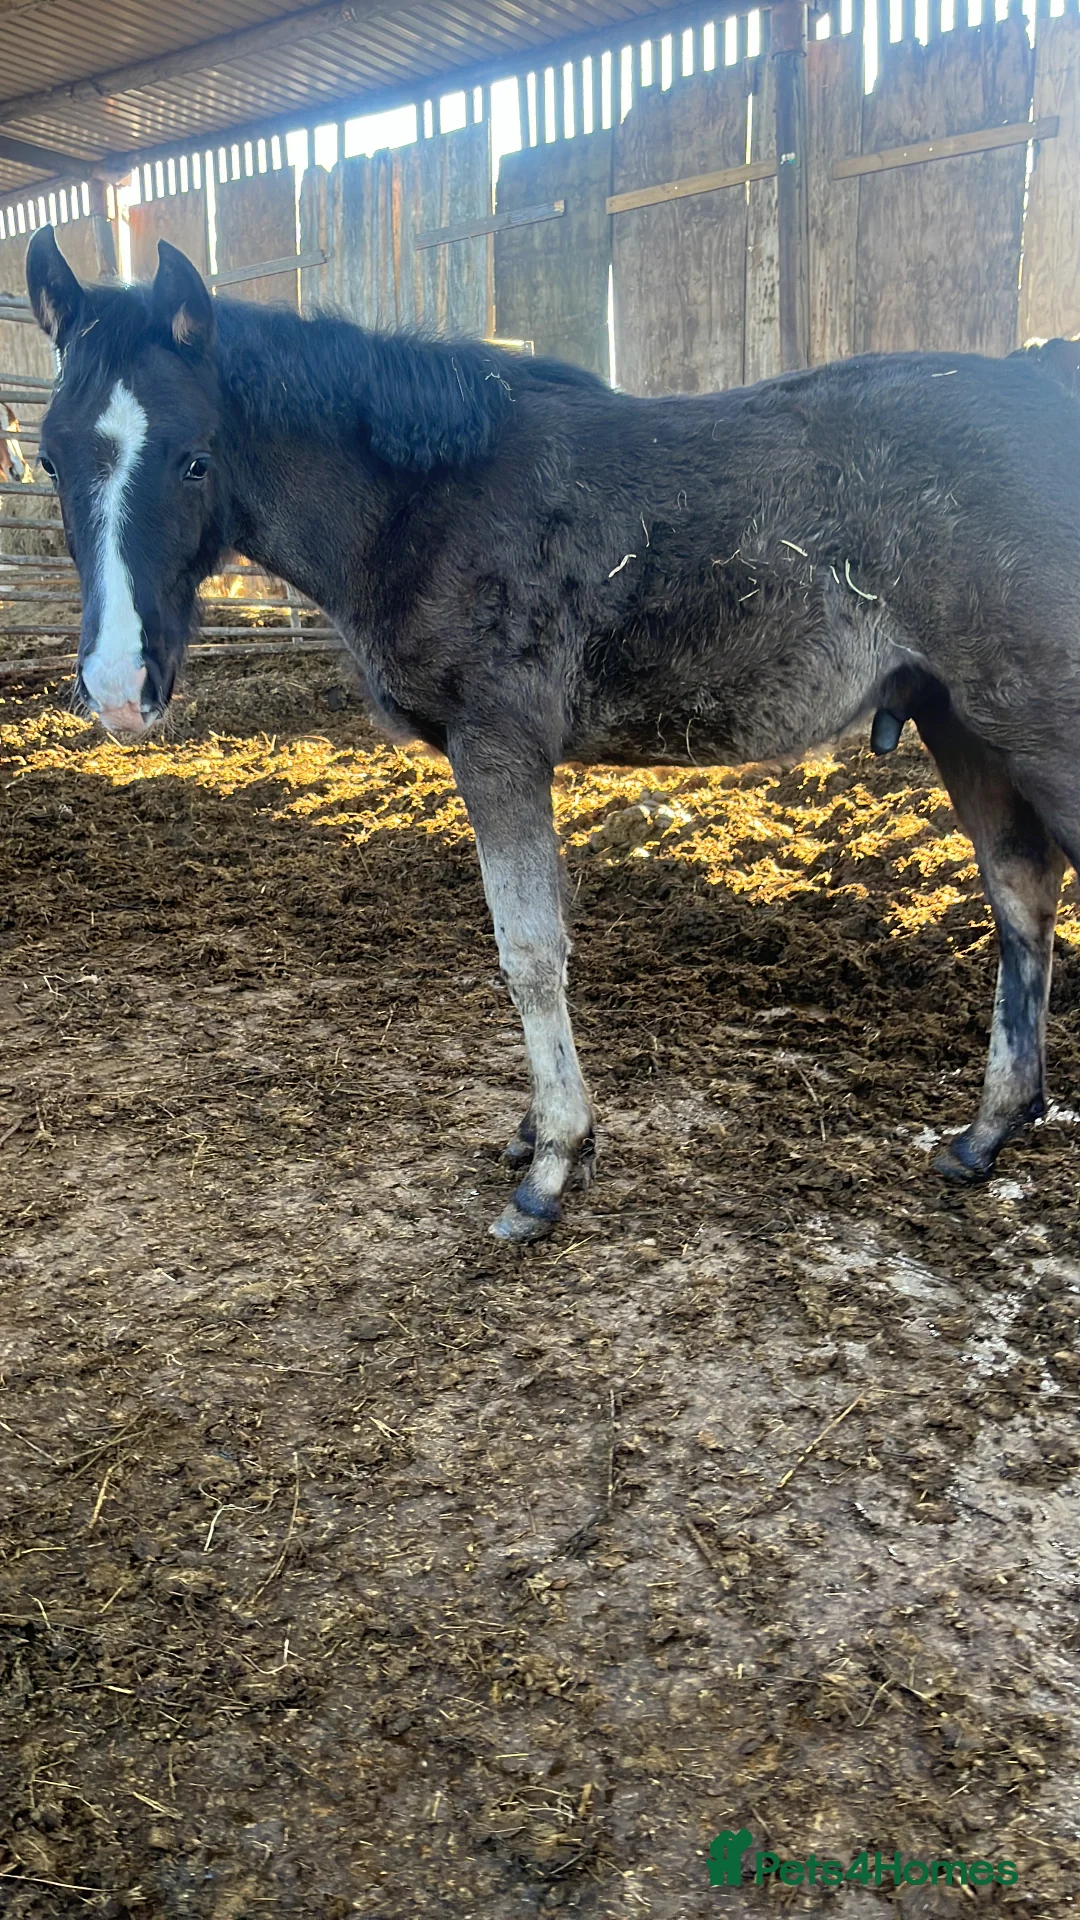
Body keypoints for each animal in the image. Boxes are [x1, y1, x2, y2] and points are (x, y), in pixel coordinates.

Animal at [25, 225, 1080, 1241]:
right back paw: (985, 1133)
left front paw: (552, 1167)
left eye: (195, 457)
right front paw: (539, 1132)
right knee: (1021, 901)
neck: (425, 503)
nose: (118, 688)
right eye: (49, 459)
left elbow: (528, 949)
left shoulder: (498, 744)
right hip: (965, 723)